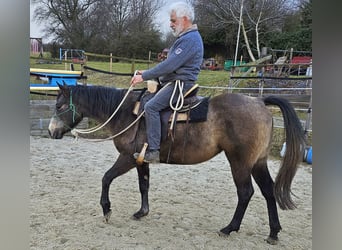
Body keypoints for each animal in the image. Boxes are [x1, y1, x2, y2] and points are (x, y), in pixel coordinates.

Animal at [47, 83, 304, 243]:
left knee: (245, 192)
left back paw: (229, 228)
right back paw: (273, 233)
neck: (127, 114)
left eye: (59, 106)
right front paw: (142, 212)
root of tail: (259, 102)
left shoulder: (127, 158)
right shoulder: (141, 160)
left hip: (239, 162)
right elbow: (144, 185)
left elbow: (106, 177)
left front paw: (107, 209)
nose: (51, 131)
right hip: (258, 162)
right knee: (269, 191)